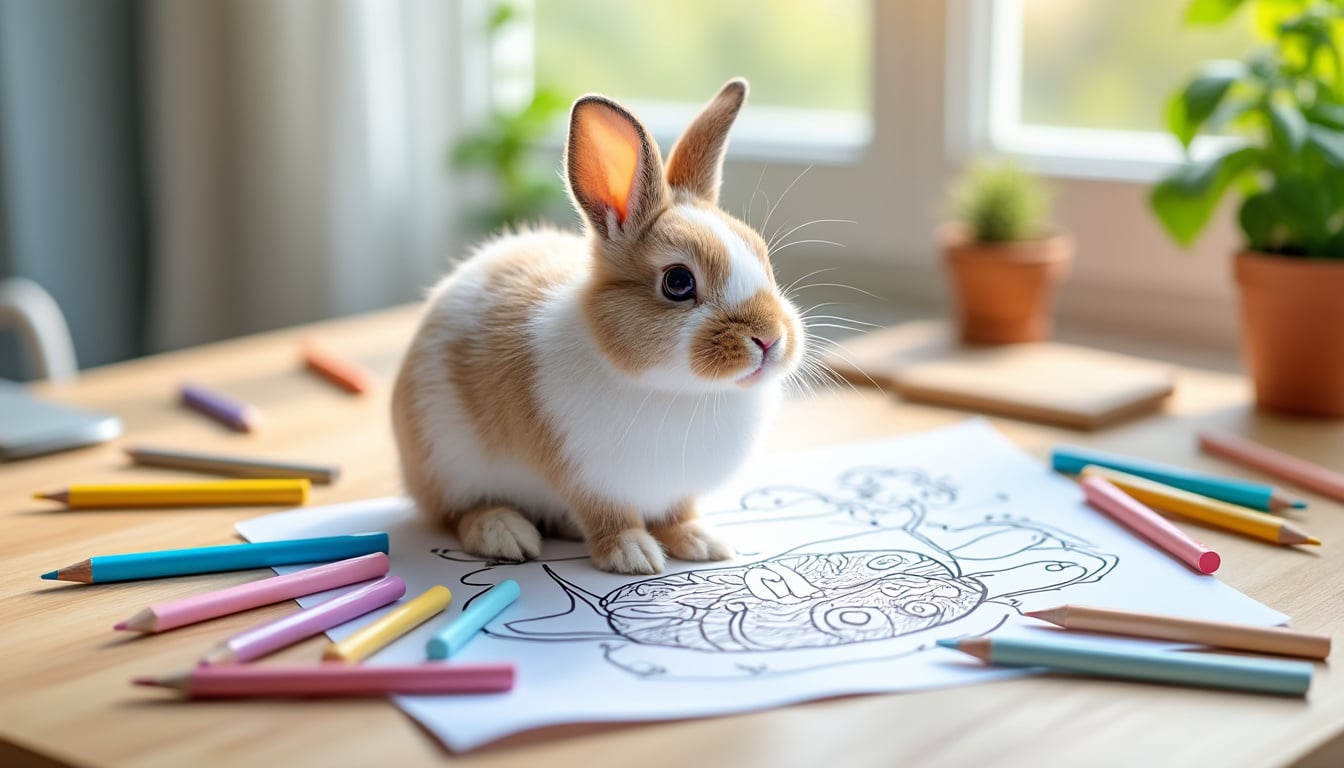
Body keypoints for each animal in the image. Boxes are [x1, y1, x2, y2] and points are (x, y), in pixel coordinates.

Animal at [391, 78, 805, 575]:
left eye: (762, 256)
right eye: (678, 282)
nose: (770, 338)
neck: (680, 390)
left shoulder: (676, 490)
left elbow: (677, 514)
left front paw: (703, 542)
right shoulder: (589, 477)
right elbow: (609, 518)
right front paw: (633, 556)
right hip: (448, 462)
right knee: (458, 511)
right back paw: (504, 534)